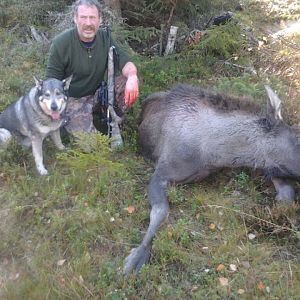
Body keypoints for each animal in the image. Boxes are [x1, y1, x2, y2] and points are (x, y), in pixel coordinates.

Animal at [123, 84, 298, 274]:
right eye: (298, 137)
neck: (215, 154)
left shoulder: (268, 165)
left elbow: (288, 193)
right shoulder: (161, 172)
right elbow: (161, 210)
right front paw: (138, 256)